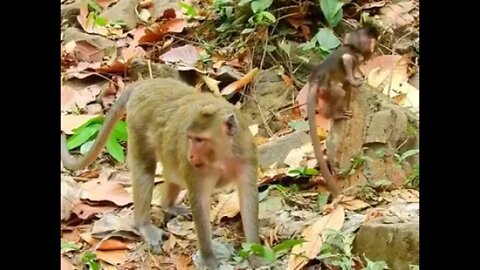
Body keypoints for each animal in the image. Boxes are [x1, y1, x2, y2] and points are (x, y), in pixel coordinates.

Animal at [61, 77, 262, 268]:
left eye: (199, 140)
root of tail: (147, 83)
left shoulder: (246, 156)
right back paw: (144, 225)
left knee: (172, 172)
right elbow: (200, 202)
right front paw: (209, 258)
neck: (223, 156)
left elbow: (248, 200)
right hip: (138, 124)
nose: (190, 155)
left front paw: (256, 252)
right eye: (191, 138)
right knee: (145, 170)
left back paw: (169, 206)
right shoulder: (196, 169)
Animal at [308, 26, 378, 196]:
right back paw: (334, 114)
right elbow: (347, 60)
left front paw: (360, 75)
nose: (373, 47)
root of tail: (315, 79)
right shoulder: (355, 56)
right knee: (339, 92)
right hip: (326, 88)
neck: (351, 46)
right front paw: (354, 80)